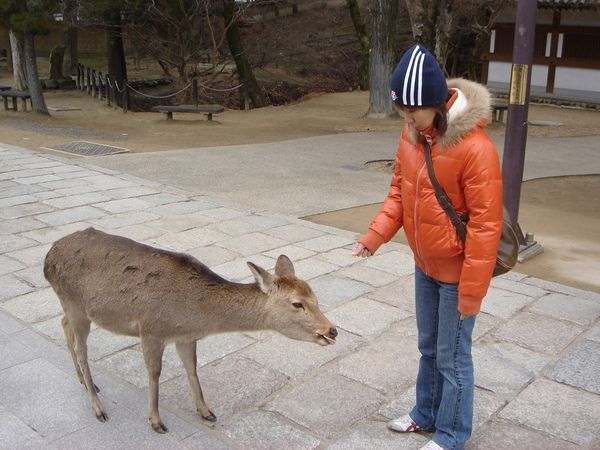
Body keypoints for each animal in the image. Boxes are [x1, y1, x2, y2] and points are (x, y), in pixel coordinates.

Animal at [43, 229, 338, 432]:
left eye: (315, 297)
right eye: (297, 303)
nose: (332, 330)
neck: (196, 316)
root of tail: (48, 255)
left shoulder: (185, 337)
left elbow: (192, 368)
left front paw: (206, 412)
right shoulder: (151, 330)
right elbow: (154, 375)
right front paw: (156, 421)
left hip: (73, 307)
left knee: (64, 325)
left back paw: (85, 381)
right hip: (74, 302)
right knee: (81, 347)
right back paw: (97, 406)